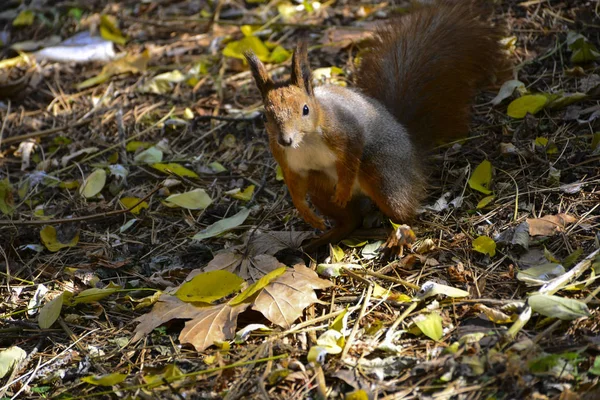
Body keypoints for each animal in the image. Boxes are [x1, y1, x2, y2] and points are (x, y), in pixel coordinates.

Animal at [244, 1, 506, 248]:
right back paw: (326, 236)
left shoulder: (343, 130)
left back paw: (396, 234)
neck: (305, 141)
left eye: (305, 110)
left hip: (383, 176)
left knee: (404, 212)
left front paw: (343, 189)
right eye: (265, 117)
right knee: (351, 220)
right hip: (320, 187)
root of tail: (412, 148)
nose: (285, 140)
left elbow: (352, 153)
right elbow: (294, 186)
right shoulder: (286, 160)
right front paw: (307, 214)